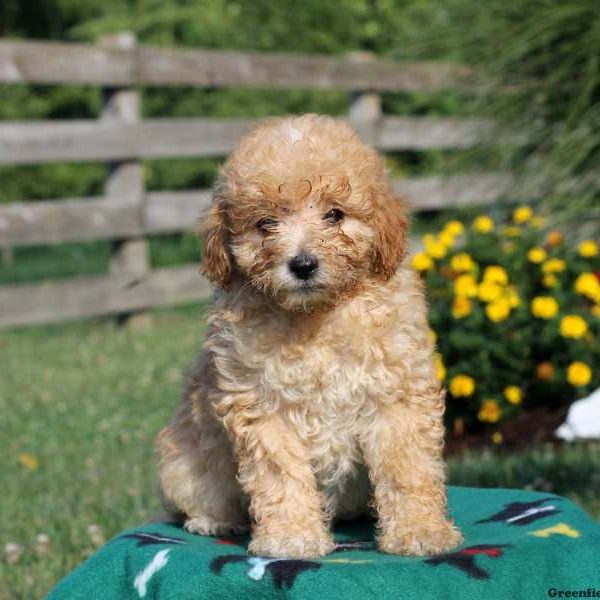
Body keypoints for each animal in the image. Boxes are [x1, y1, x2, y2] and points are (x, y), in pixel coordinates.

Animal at [157, 112, 462, 556]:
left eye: (334, 214)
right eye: (266, 223)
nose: (302, 264)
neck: (316, 317)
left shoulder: (396, 393)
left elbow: (408, 468)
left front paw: (420, 530)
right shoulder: (262, 406)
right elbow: (280, 475)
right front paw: (291, 537)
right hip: (182, 460)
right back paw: (212, 520)